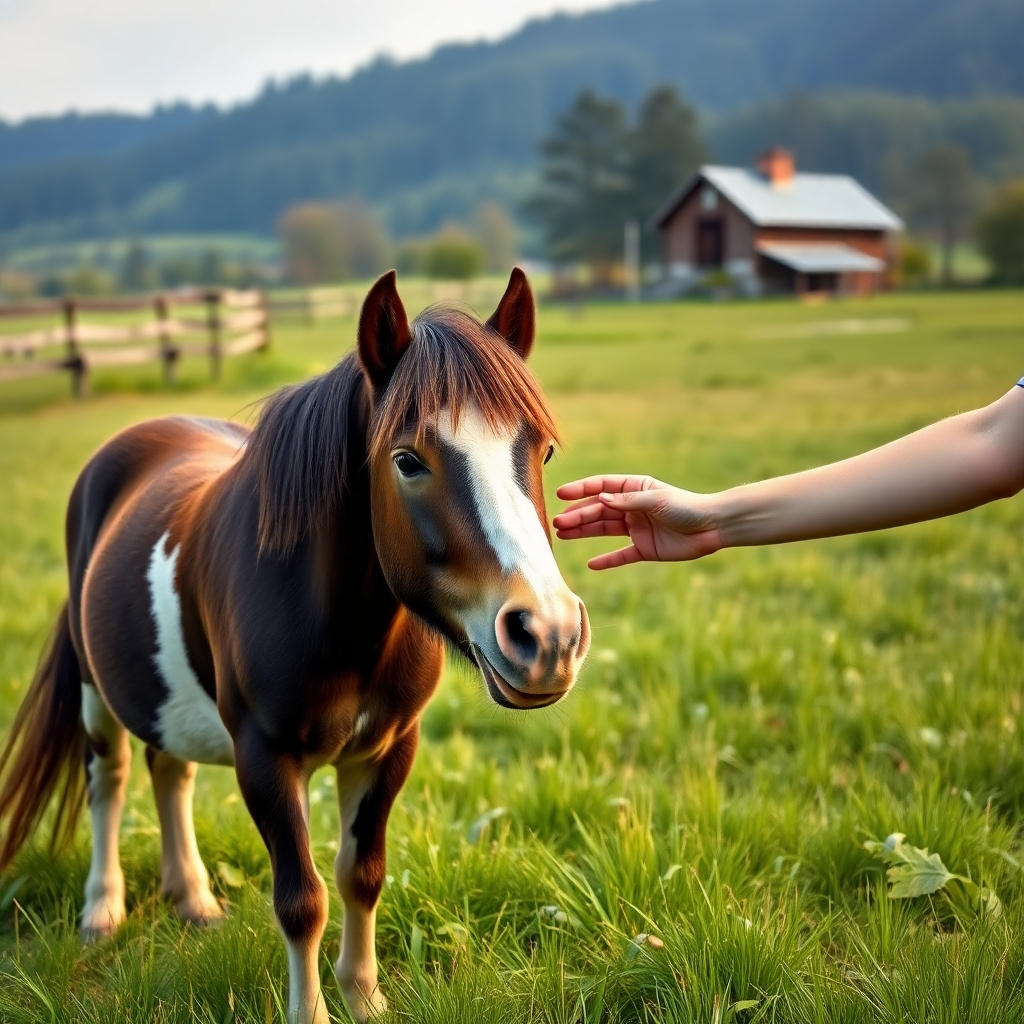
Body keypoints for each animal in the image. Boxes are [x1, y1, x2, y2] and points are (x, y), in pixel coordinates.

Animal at [0, 268, 591, 1023]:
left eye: (542, 450)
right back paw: (102, 912)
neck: (339, 624)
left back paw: (193, 900)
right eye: (407, 460)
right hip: (94, 693)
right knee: (110, 778)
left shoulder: (386, 750)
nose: (548, 635)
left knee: (170, 771)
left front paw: (365, 999)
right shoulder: (266, 757)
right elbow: (301, 899)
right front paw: (312, 1010)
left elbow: (361, 875)